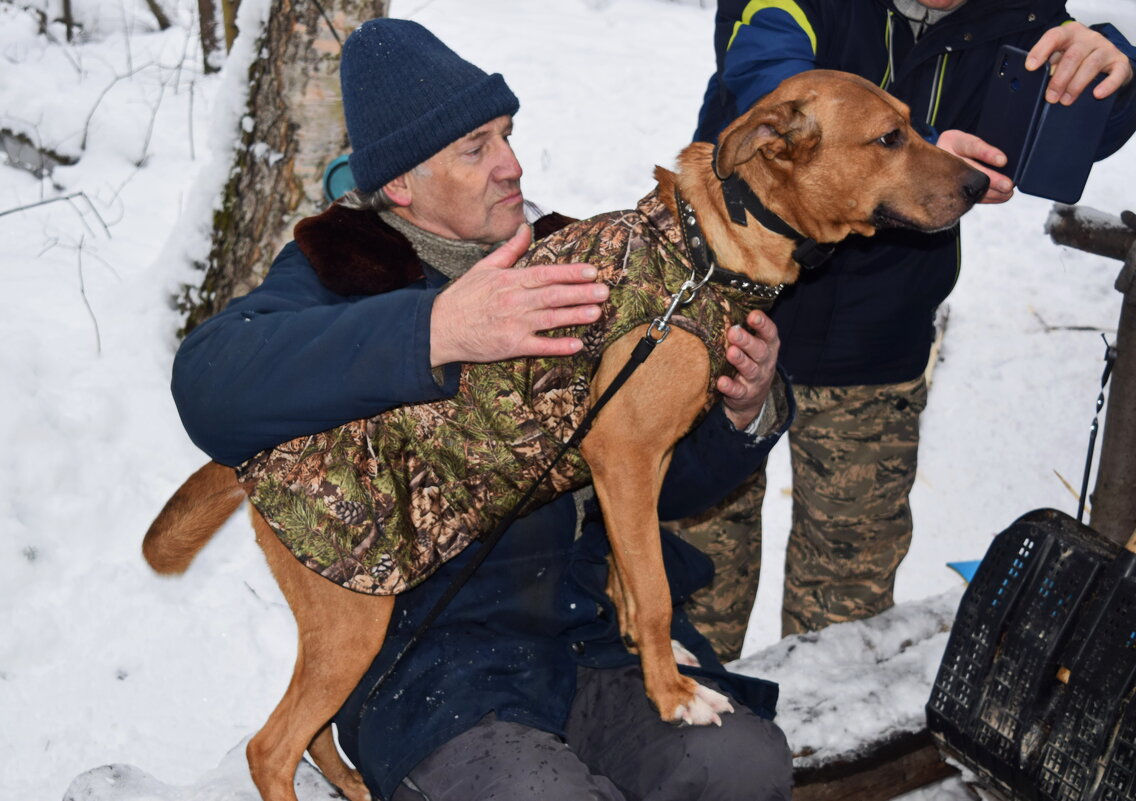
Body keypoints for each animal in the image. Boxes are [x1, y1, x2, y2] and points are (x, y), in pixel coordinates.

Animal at [142, 70, 986, 799]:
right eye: (889, 137)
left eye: (913, 124)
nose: (980, 182)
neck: (701, 252)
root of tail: (244, 461)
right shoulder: (624, 455)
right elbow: (653, 589)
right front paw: (673, 695)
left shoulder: (638, 469)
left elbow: (627, 572)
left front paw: (654, 653)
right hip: (355, 620)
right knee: (271, 745)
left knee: (313, 735)